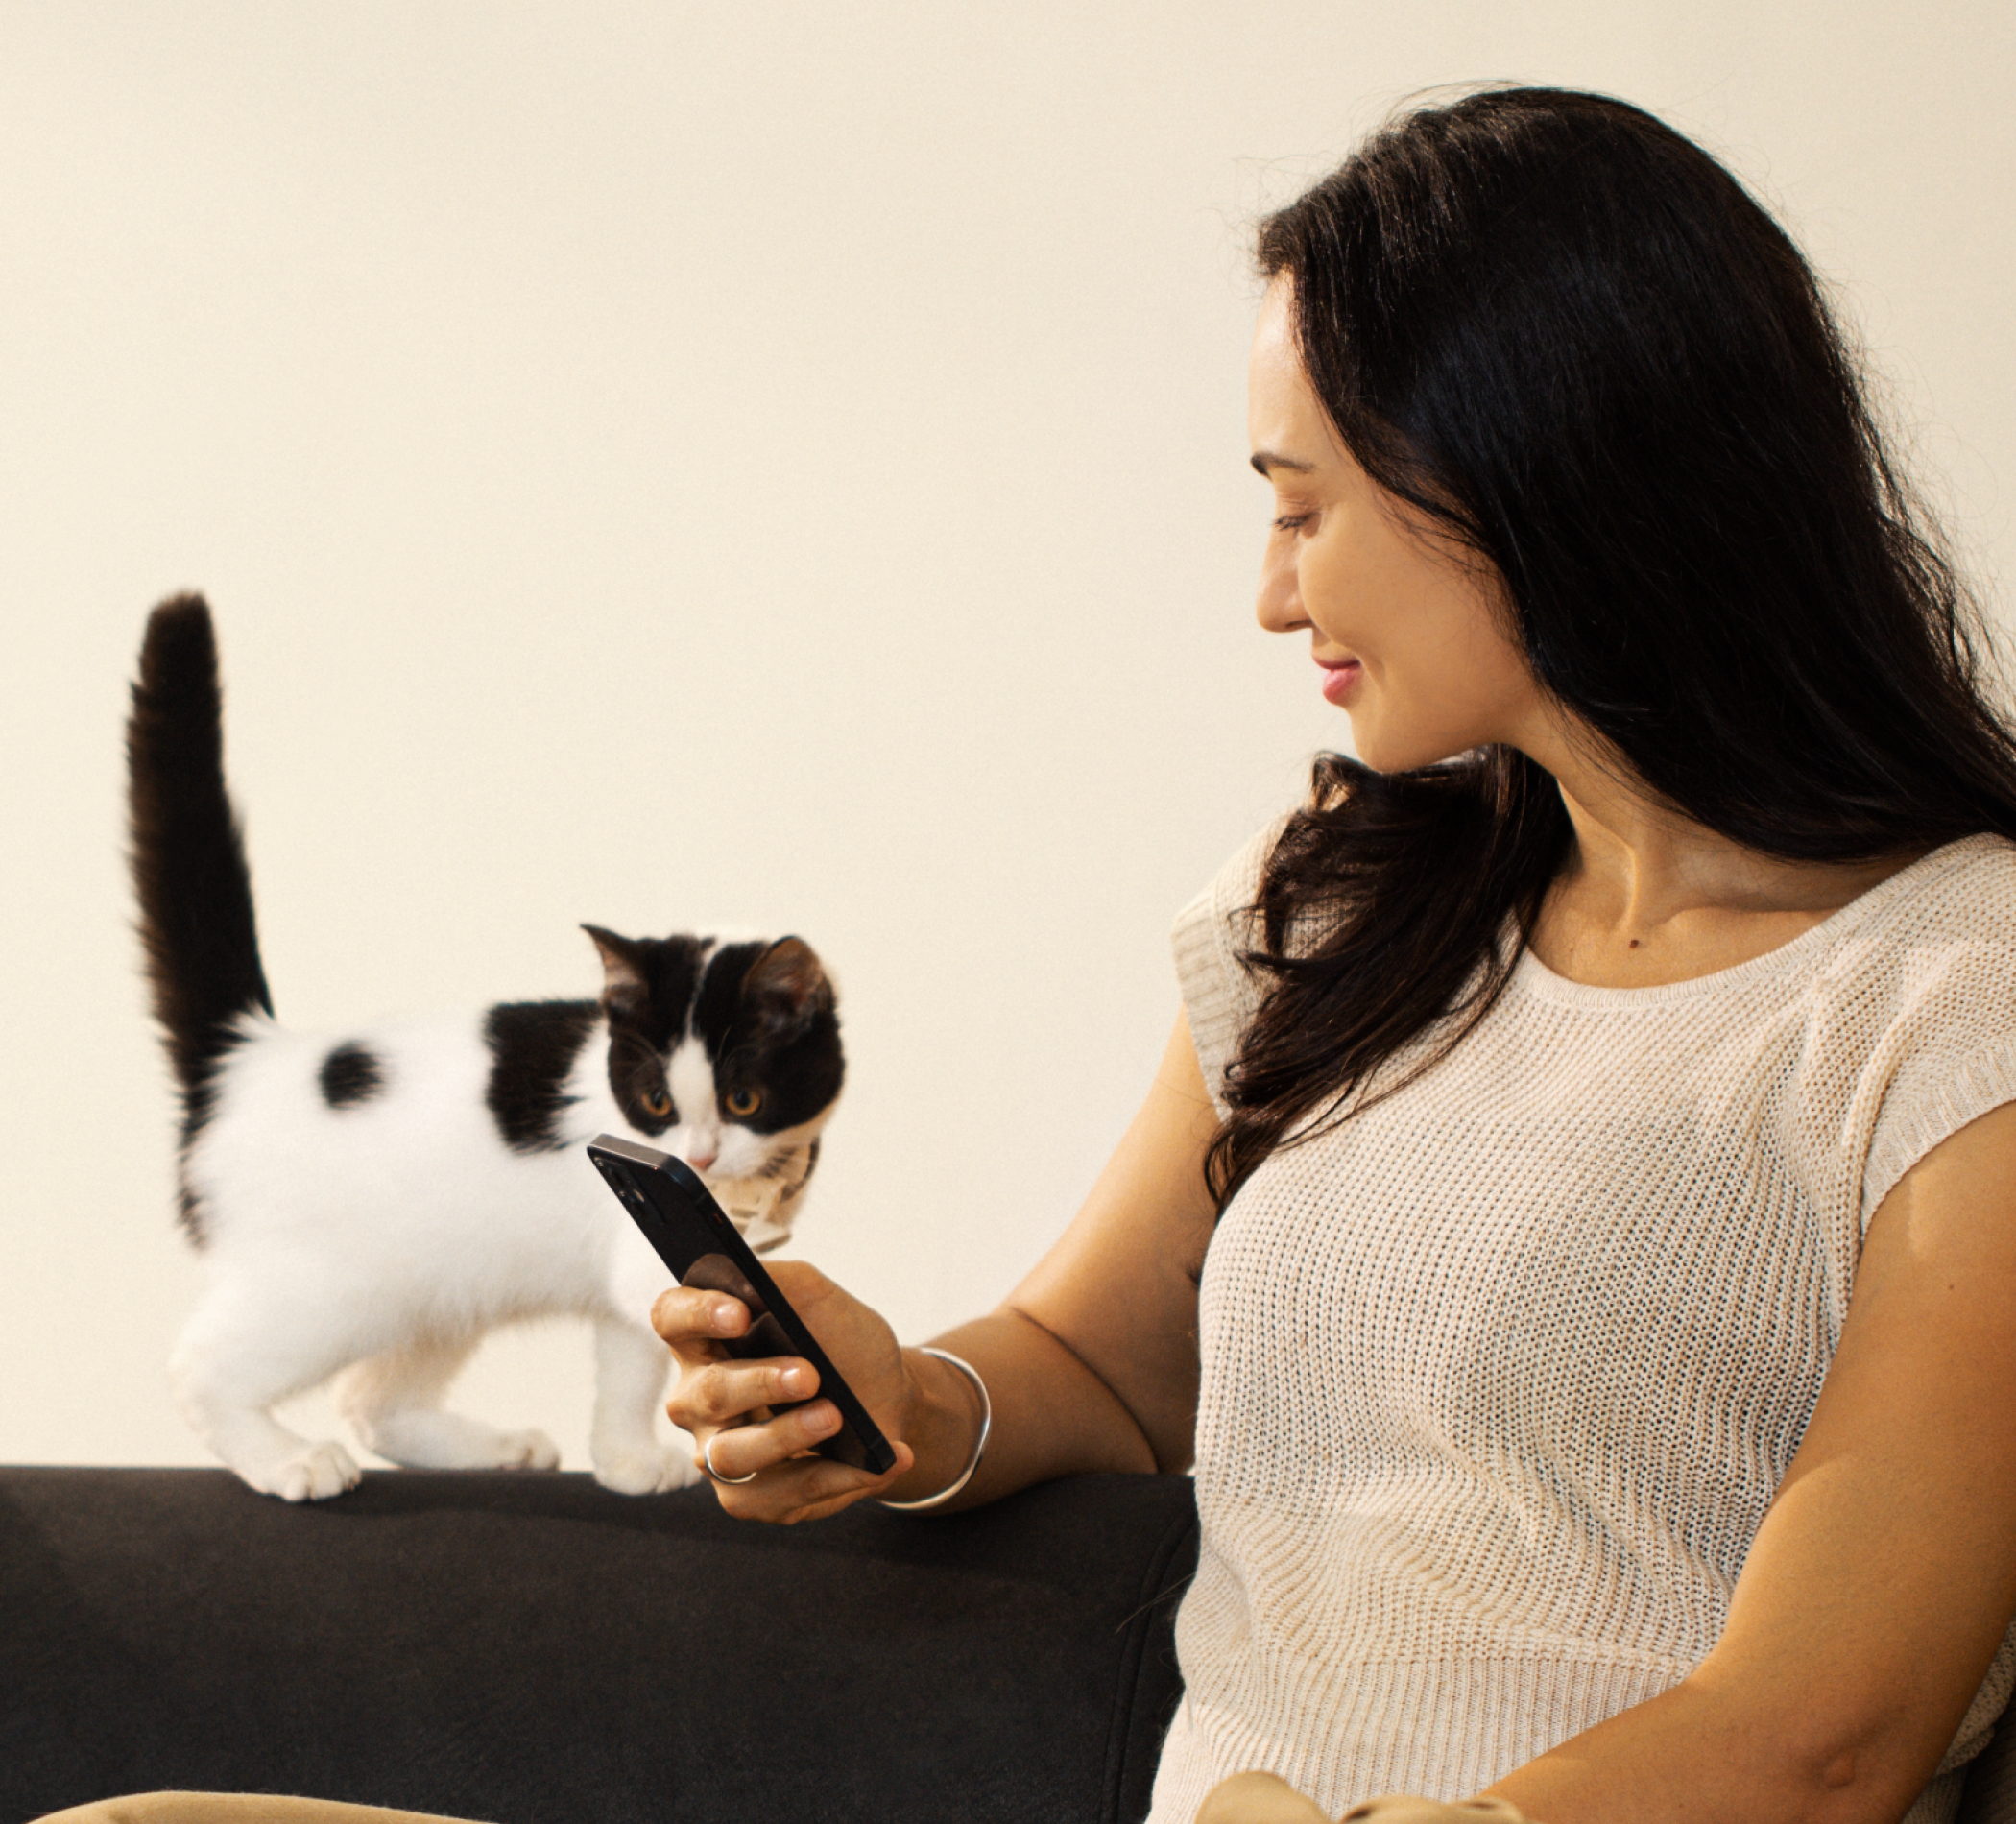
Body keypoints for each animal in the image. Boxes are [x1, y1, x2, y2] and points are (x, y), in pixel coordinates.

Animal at [126, 594, 844, 1502]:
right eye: (657, 1102)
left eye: (745, 1099)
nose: (702, 1158)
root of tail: (248, 1056)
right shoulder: (650, 1255)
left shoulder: (643, 1258)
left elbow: (631, 1366)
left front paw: (626, 1462)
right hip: (324, 1292)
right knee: (202, 1370)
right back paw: (287, 1459)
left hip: (432, 1289)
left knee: (371, 1401)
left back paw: (490, 1447)